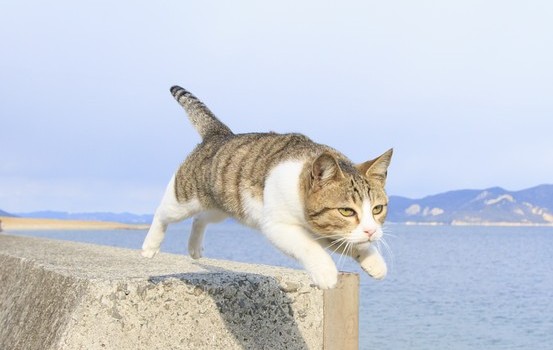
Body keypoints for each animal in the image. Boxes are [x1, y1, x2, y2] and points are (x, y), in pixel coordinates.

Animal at [142, 85, 392, 290]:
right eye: (347, 211)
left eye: (377, 209)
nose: (371, 231)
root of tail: (219, 134)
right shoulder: (277, 226)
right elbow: (310, 247)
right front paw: (327, 272)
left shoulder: (331, 231)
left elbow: (351, 242)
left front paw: (373, 261)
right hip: (185, 198)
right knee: (163, 212)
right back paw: (149, 246)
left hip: (222, 206)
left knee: (200, 218)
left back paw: (194, 248)